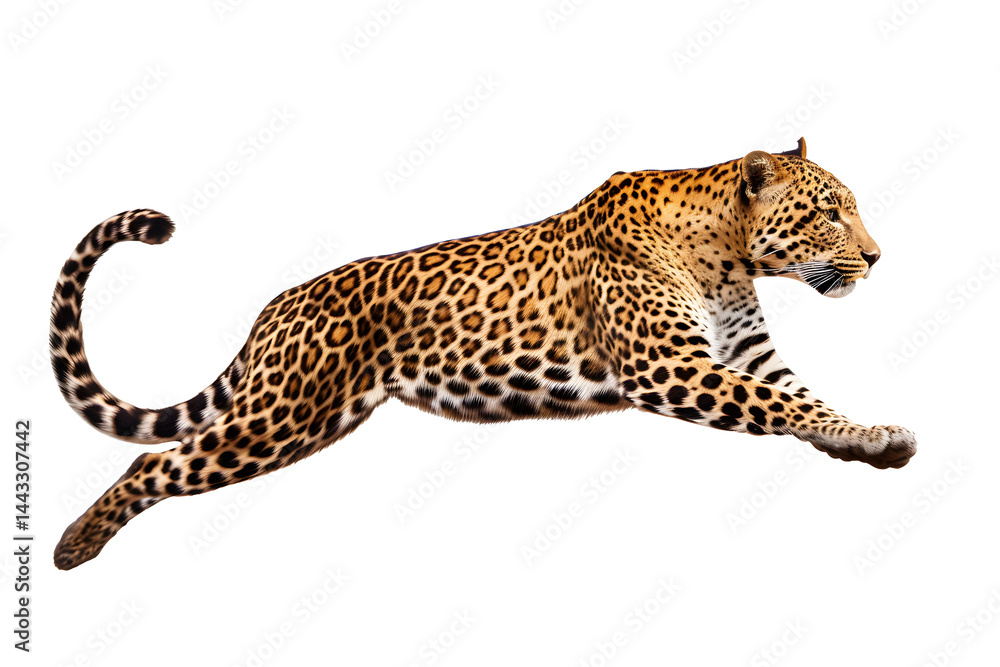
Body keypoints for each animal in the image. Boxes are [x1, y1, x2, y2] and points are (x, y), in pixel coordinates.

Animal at [50, 138, 916, 570]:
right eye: (830, 213)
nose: (878, 258)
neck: (729, 255)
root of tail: (276, 308)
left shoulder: (742, 353)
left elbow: (803, 398)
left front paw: (870, 438)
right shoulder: (671, 367)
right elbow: (782, 404)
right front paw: (872, 436)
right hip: (281, 415)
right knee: (154, 461)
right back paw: (72, 546)